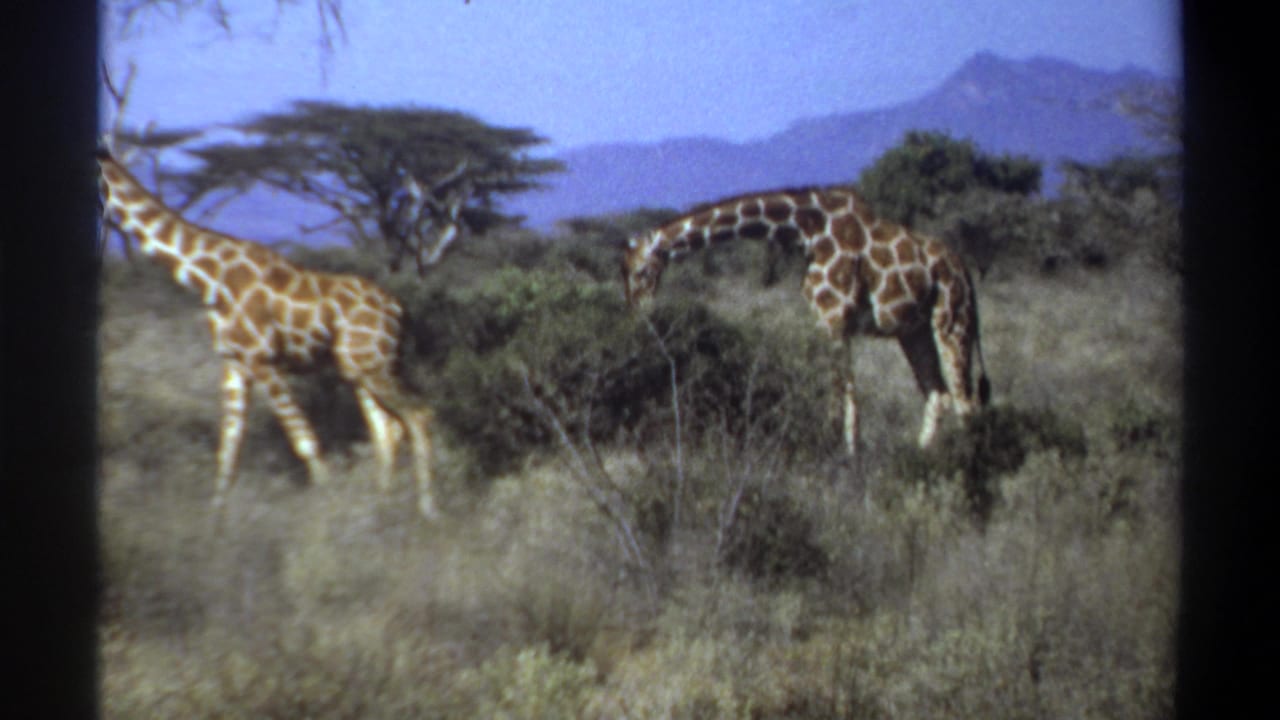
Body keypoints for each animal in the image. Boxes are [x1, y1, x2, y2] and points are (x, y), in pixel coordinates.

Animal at [96, 149, 440, 519]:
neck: (209, 277)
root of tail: (400, 310)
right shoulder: (234, 363)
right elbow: (228, 451)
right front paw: (215, 525)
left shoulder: (263, 360)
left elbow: (305, 442)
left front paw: (324, 515)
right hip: (360, 370)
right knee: (387, 429)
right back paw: (381, 509)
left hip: (374, 367)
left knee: (418, 415)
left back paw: (427, 512)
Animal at [621, 186, 990, 458]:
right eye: (622, 273)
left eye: (640, 272)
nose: (637, 313)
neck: (805, 229)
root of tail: (965, 271)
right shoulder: (827, 320)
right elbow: (851, 400)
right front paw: (851, 458)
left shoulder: (834, 317)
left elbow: (839, 400)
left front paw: (834, 457)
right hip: (913, 330)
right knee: (939, 395)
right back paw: (923, 457)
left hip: (952, 319)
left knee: (967, 402)